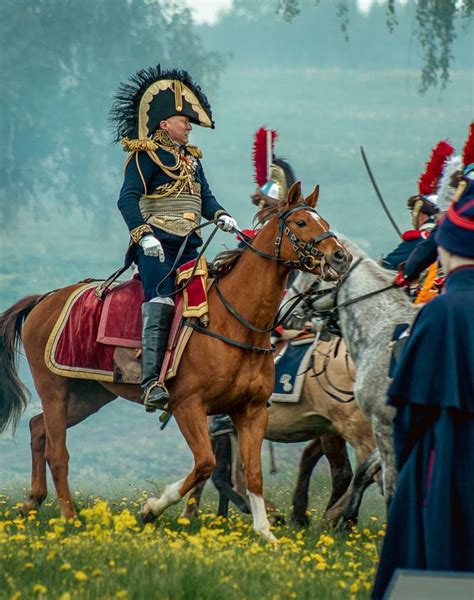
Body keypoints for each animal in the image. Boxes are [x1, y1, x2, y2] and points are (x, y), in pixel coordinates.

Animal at [0, 184, 348, 544]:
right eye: (301, 222)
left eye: (323, 221)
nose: (340, 257)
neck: (235, 322)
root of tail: (45, 299)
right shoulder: (188, 405)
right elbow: (205, 463)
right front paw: (151, 508)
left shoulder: (251, 411)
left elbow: (252, 473)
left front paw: (265, 532)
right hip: (54, 388)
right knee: (58, 452)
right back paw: (68, 517)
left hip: (90, 393)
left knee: (38, 427)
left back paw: (32, 502)